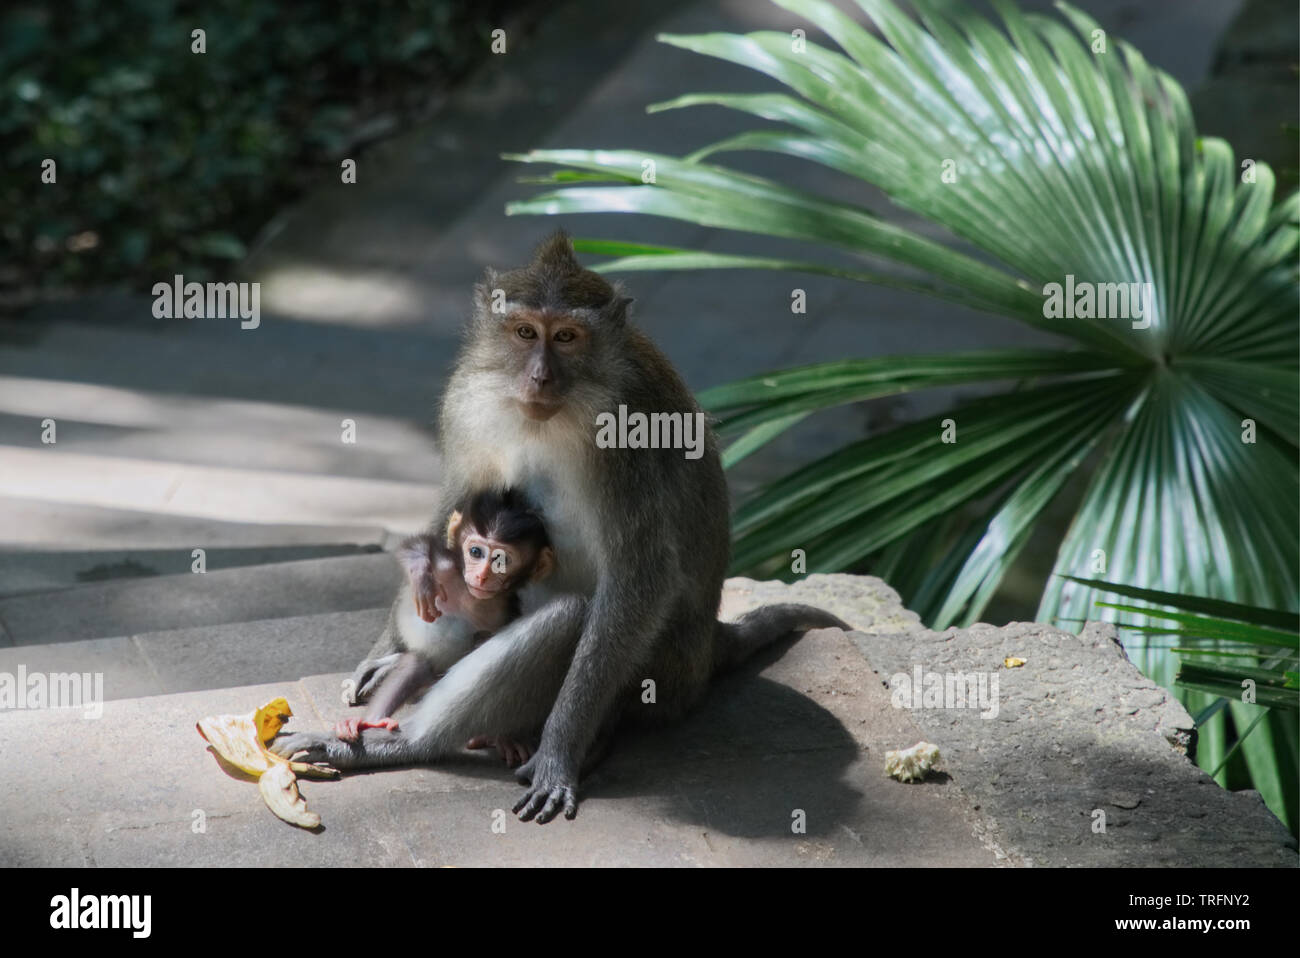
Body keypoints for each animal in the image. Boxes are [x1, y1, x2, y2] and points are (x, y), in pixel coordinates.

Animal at [335, 488, 554, 768]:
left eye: (501, 559)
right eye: (475, 552)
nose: (482, 576)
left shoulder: (507, 610)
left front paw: (507, 736)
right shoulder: (448, 566)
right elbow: (414, 547)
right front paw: (420, 576)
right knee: (415, 665)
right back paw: (369, 721)